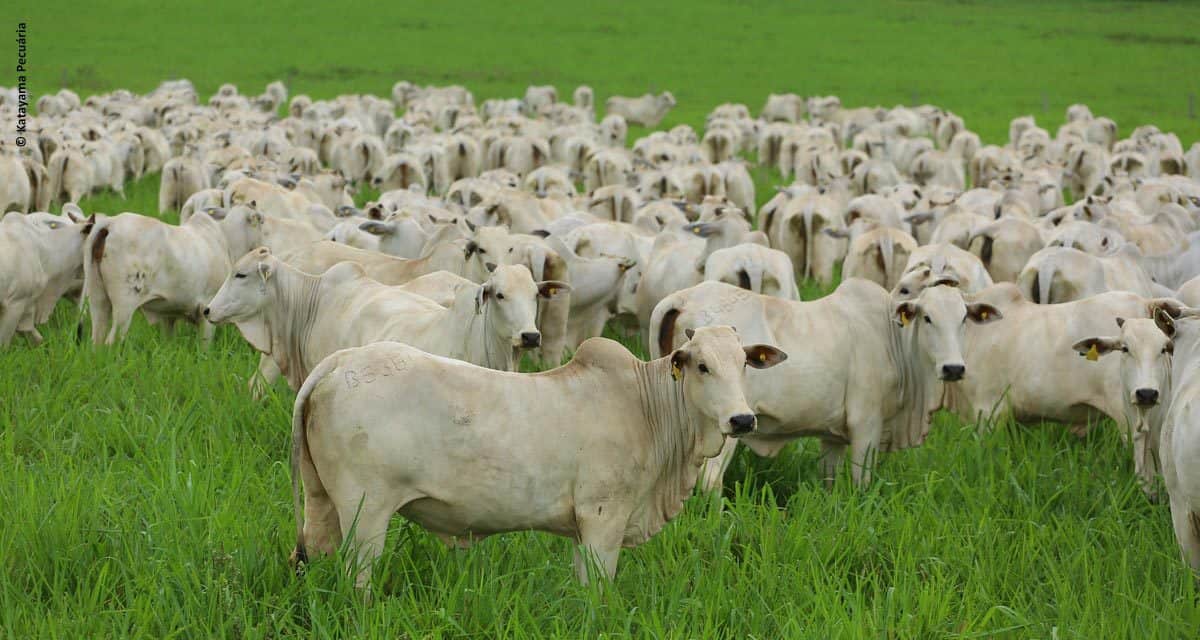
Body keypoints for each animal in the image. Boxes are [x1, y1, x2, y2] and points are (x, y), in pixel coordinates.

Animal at [652, 277, 998, 487]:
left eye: (964, 318)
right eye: (927, 318)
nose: (953, 368)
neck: (891, 337)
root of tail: (682, 298)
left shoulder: (833, 435)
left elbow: (828, 479)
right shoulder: (866, 425)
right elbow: (861, 482)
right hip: (725, 426)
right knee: (710, 479)